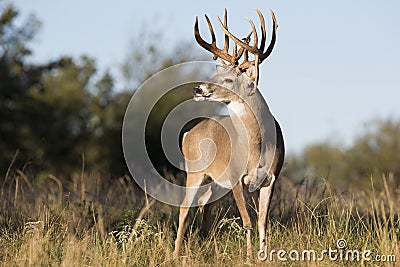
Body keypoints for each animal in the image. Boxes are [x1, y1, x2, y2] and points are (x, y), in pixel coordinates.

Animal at [174, 8, 284, 262]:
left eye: (229, 79)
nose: (197, 89)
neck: (258, 146)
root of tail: (187, 134)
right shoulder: (236, 177)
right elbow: (247, 221)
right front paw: (249, 257)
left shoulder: (271, 178)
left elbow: (263, 222)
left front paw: (263, 256)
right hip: (195, 171)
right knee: (185, 207)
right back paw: (174, 254)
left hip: (216, 182)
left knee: (204, 204)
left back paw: (207, 245)